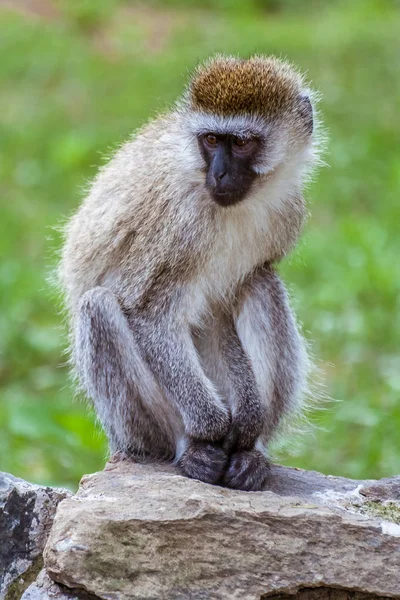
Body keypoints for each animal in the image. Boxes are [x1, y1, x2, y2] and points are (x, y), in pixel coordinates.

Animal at [60, 55, 322, 492]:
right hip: (135, 432)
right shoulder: (177, 223)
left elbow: (222, 307)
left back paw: (251, 451)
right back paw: (192, 448)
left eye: (242, 142)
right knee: (98, 307)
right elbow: (147, 313)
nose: (218, 175)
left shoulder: (288, 209)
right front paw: (212, 426)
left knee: (261, 283)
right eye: (212, 140)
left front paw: (247, 423)